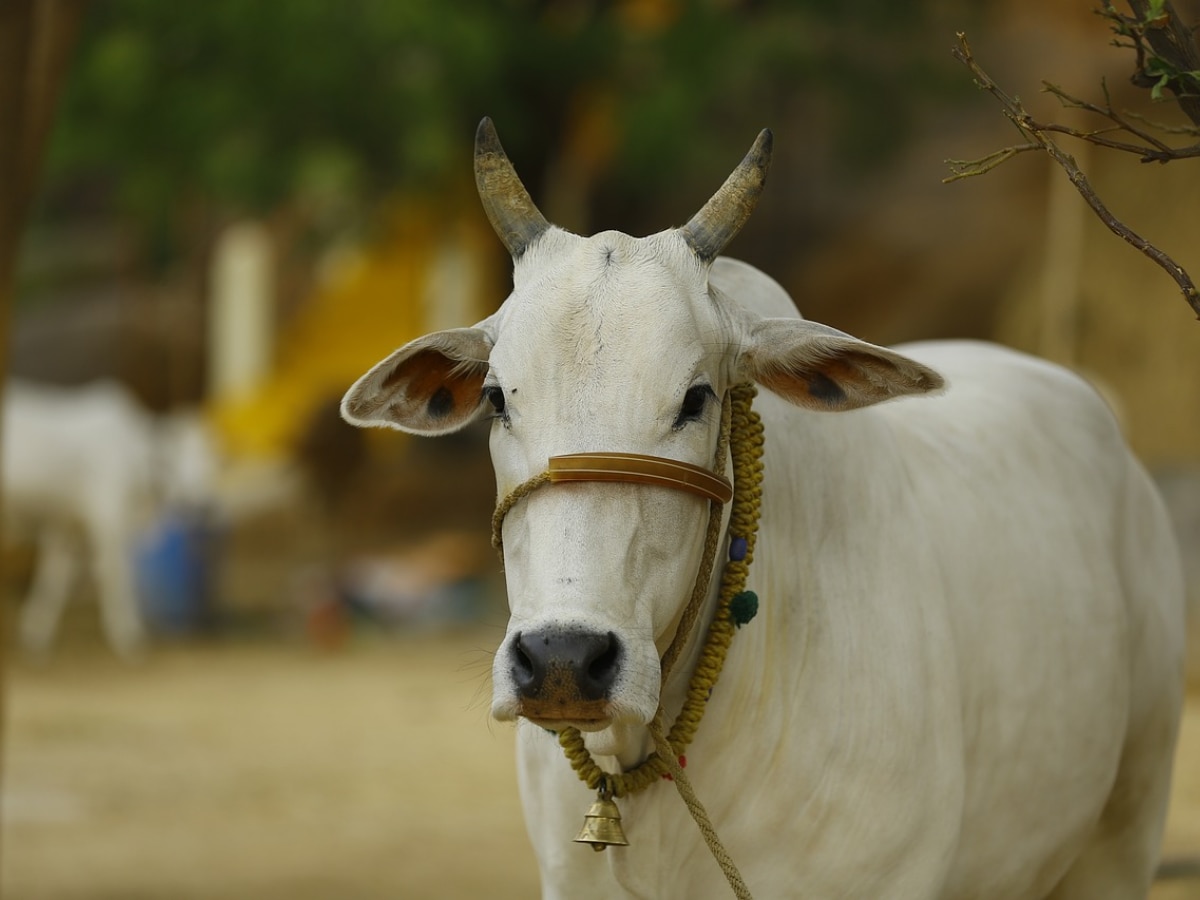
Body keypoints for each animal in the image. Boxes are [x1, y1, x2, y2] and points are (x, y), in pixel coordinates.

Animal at [2, 381, 217, 662]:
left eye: (213, 461)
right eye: (169, 462)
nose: (203, 504)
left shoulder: (67, 525)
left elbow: (54, 578)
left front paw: (35, 634)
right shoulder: (109, 521)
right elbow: (117, 576)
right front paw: (129, 636)